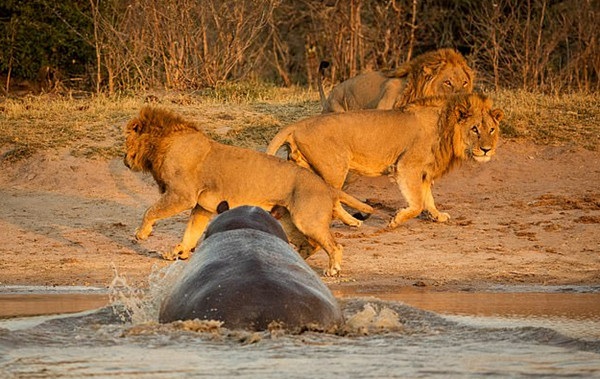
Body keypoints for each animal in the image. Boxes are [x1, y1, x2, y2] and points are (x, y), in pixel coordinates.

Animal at [123, 107, 372, 276]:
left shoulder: (182, 195)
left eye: (126, 141)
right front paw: (179, 253)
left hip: (306, 219)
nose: (124, 161)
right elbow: (191, 232)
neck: (163, 145)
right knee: (309, 244)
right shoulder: (202, 206)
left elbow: (150, 211)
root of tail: (325, 185)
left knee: (332, 244)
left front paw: (141, 234)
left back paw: (333, 269)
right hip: (289, 220)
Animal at [266, 93, 502, 227]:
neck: (446, 128)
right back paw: (353, 221)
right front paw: (396, 220)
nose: (486, 150)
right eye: (475, 129)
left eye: (491, 129)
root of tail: (297, 124)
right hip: (335, 167)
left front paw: (437, 216)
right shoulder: (407, 166)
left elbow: (428, 198)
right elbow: (417, 203)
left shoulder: (424, 171)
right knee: (333, 198)